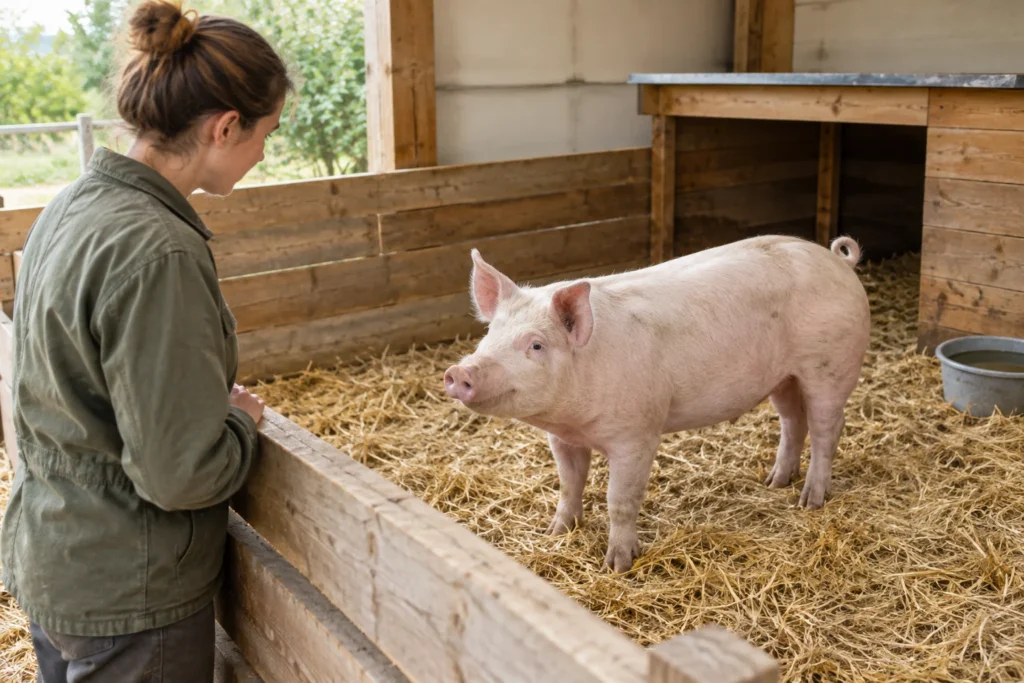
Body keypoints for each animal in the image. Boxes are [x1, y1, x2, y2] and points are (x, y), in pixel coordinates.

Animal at [443, 234, 871, 573]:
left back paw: (809, 501)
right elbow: (568, 483)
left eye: (536, 345)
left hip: (829, 366)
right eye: (490, 333)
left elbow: (620, 500)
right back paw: (774, 481)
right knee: (792, 420)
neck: (575, 419)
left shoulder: (637, 434)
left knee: (827, 428)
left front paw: (617, 565)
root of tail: (838, 260)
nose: (461, 371)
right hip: (783, 377)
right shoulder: (562, 437)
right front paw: (555, 532)